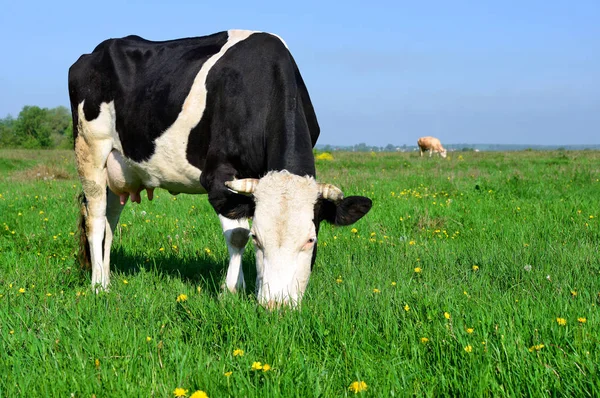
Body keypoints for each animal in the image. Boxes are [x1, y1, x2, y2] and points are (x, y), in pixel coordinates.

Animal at [68, 29, 372, 308]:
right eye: (258, 239)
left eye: (310, 240)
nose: (275, 305)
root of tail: (95, 51)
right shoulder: (217, 175)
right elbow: (236, 235)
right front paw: (231, 291)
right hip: (90, 150)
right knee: (96, 219)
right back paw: (98, 287)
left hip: (118, 170)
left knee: (110, 221)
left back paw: (107, 278)